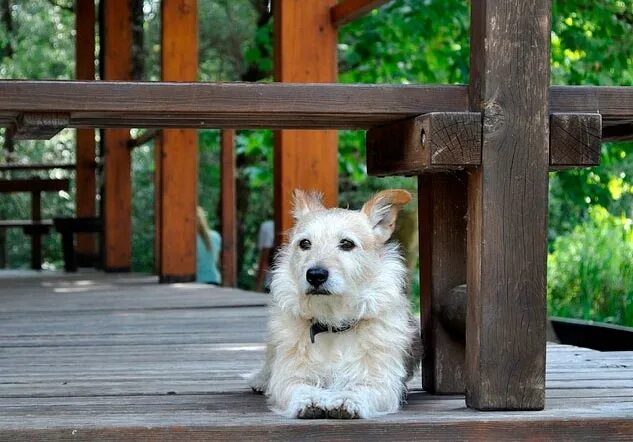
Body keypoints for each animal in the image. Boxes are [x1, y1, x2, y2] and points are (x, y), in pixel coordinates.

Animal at [248, 189, 420, 418]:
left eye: (347, 244)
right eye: (305, 243)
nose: (315, 275)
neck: (332, 324)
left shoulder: (379, 380)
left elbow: (361, 387)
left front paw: (347, 399)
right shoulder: (291, 375)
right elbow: (298, 386)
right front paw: (310, 399)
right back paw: (260, 380)